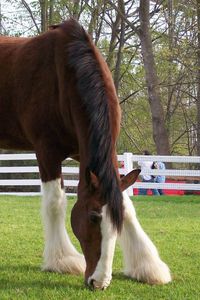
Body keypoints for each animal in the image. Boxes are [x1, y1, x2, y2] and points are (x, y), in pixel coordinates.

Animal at [0, 18, 172, 288]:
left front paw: (148, 266)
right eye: (93, 218)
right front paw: (63, 260)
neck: (64, 76)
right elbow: (55, 202)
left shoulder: (87, 154)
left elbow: (125, 203)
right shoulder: (47, 152)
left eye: (117, 224)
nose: (98, 282)